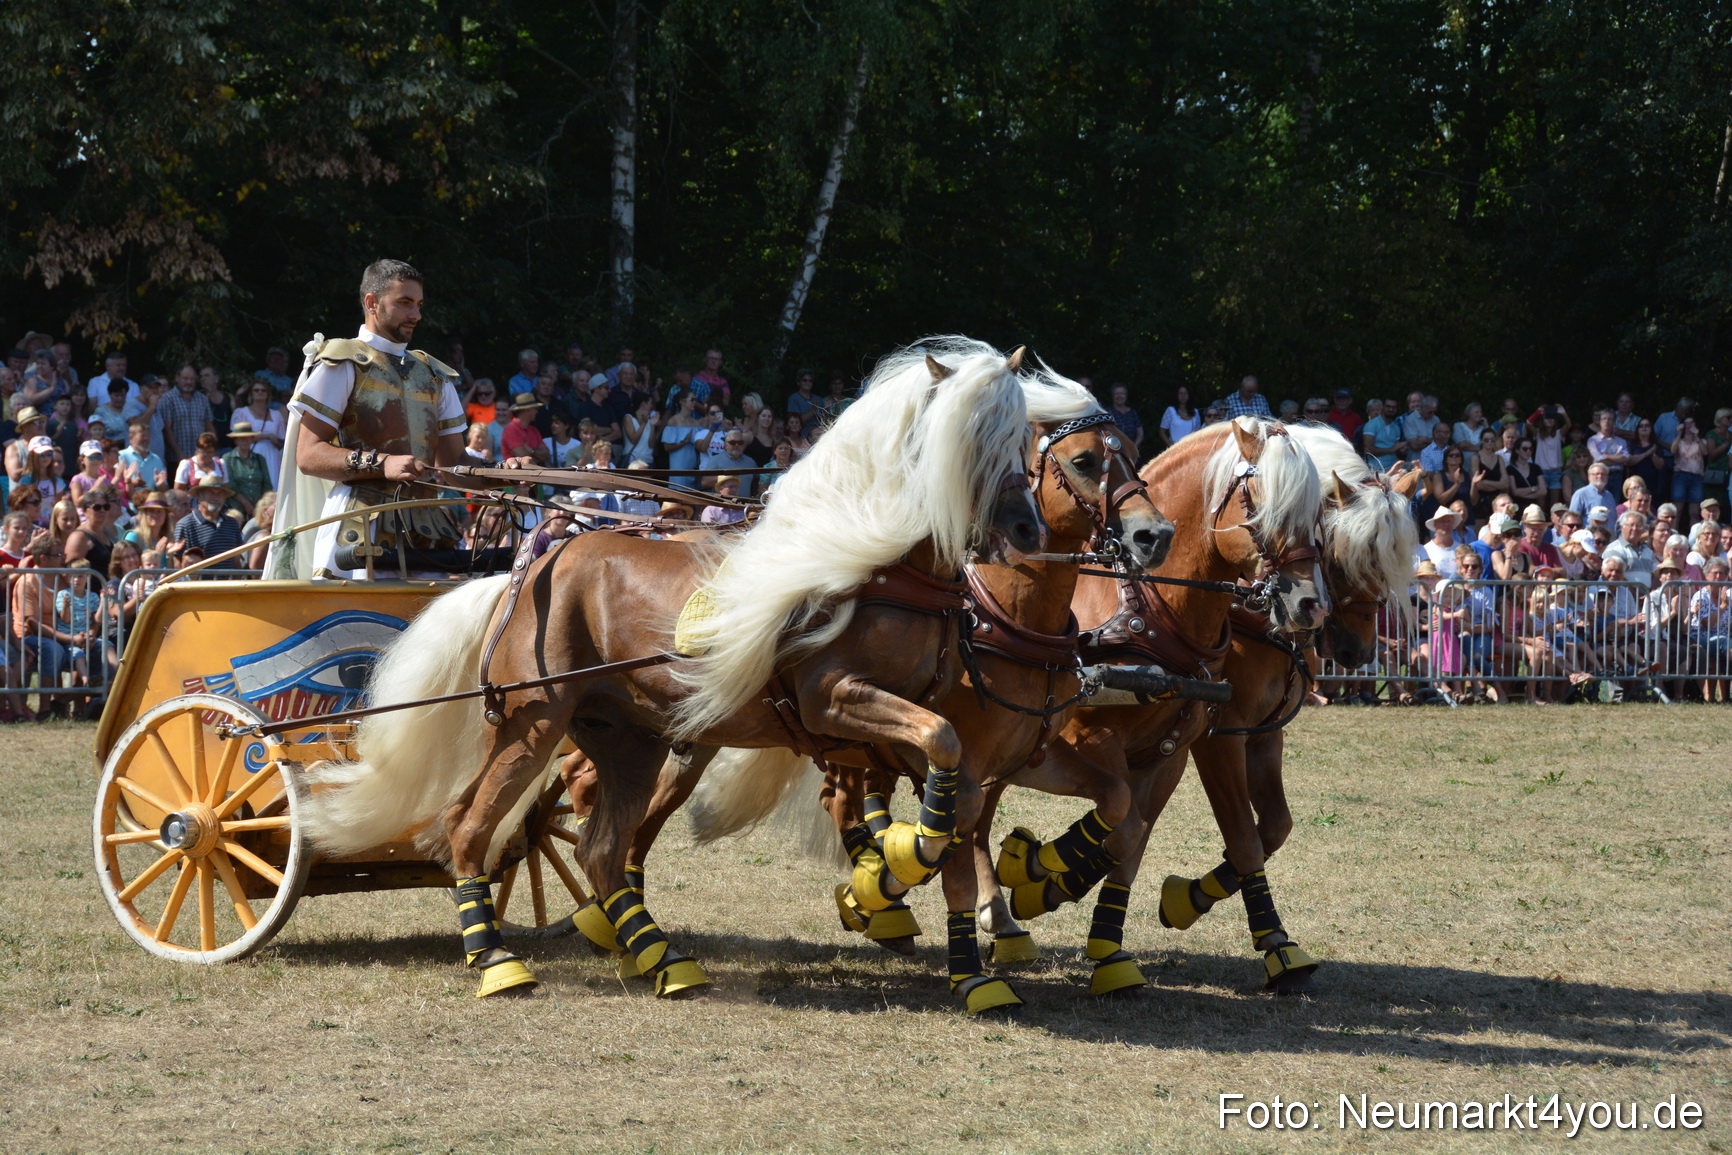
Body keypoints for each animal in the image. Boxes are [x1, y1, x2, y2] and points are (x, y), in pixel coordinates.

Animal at [298, 337, 1050, 999]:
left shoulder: (920, 725)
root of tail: (533, 566)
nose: (1028, 532)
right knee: (469, 826)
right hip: (531, 722)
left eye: (1025, 443)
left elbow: (955, 797)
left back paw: (660, 957)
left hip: (629, 740)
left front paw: (953, 941)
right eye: (972, 441)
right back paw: (497, 962)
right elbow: (936, 768)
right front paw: (904, 860)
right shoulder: (834, 698)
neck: (873, 565)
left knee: (599, 849)